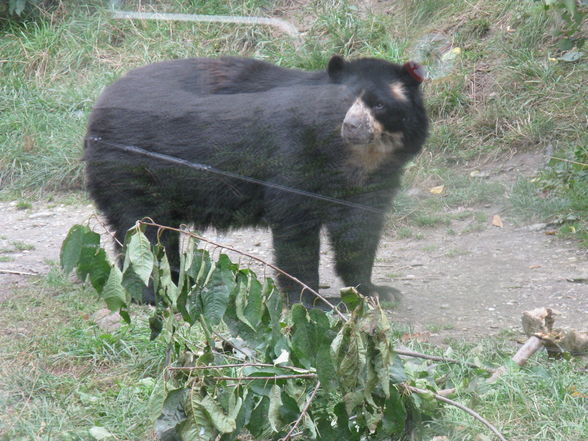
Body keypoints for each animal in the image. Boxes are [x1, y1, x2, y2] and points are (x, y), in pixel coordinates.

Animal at [84, 55, 428, 306]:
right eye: (343, 102)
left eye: (379, 104)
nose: (352, 126)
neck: (351, 158)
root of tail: (98, 105)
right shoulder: (292, 154)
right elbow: (296, 230)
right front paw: (312, 301)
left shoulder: (377, 178)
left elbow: (359, 230)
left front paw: (376, 290)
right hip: (130, 167)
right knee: (142, 229)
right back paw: (153, 292)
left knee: (160, 232)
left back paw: (180, 281)